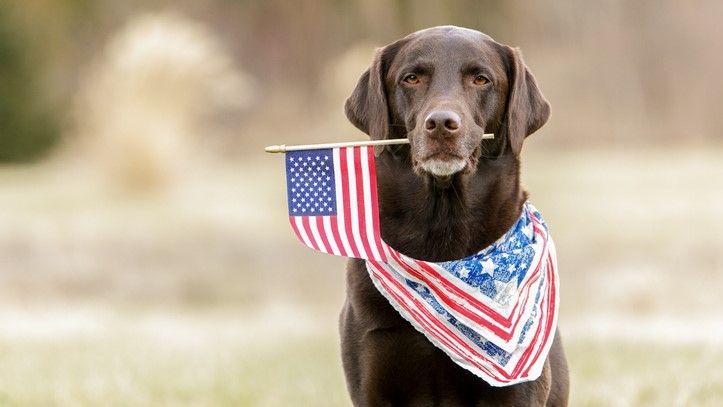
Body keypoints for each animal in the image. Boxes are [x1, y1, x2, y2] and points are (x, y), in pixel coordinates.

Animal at [340, 27, 572, 406]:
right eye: (412, 78)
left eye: (481, 79)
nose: (441, 124)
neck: (442, 226)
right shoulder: (374, 379)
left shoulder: (517, 392)